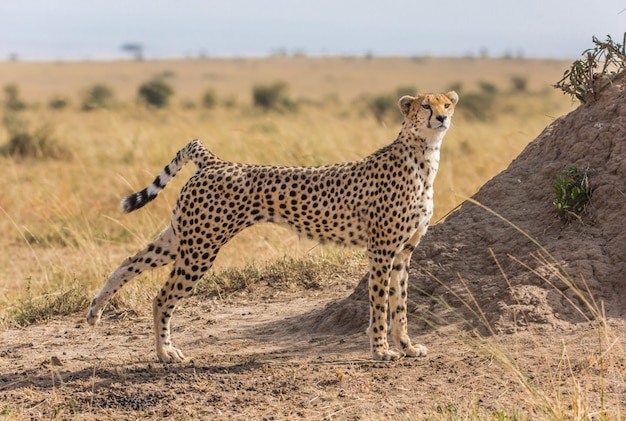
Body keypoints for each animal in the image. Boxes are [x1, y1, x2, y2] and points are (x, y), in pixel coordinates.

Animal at [86, 91, 458, 360]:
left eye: (447, 104)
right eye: (425, 105)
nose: (441, 117)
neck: (424, 157)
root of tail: (216, 161)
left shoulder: (403, 252)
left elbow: (400, 302)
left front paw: (407, 346)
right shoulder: (381, 250)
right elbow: (380, 302)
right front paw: (381, 350)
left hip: (183, 237)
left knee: (128, 262)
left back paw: (95, 311)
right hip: (201, 248)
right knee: (162, 297)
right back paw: (165, 353)